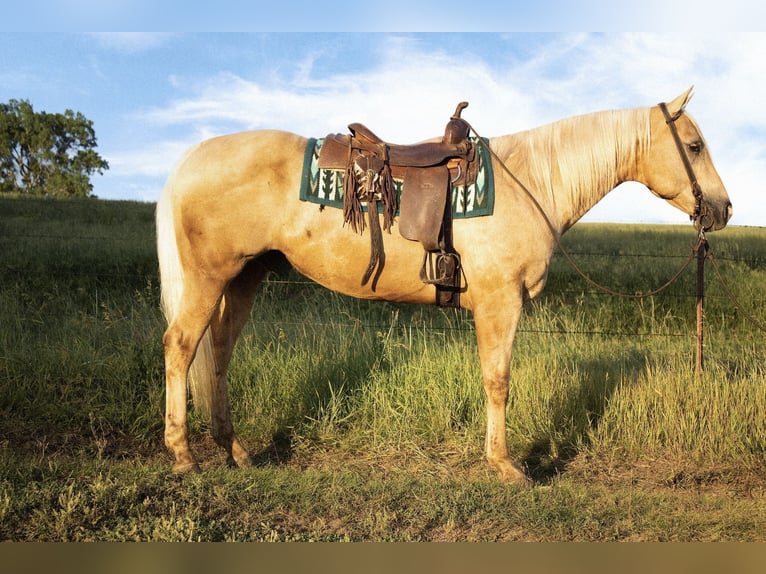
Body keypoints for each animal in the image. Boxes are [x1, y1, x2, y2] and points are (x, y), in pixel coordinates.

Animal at [156, 87, 732, 484]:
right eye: (695, 145)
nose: (723, 209)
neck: (534, 182)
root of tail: (191, 159)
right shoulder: (501, 304)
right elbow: (498, 381)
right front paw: (505, 465)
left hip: (243, 277)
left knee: (219, 353)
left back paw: (235, 450)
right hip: (210, 278)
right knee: (181, 347)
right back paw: (184, 456)